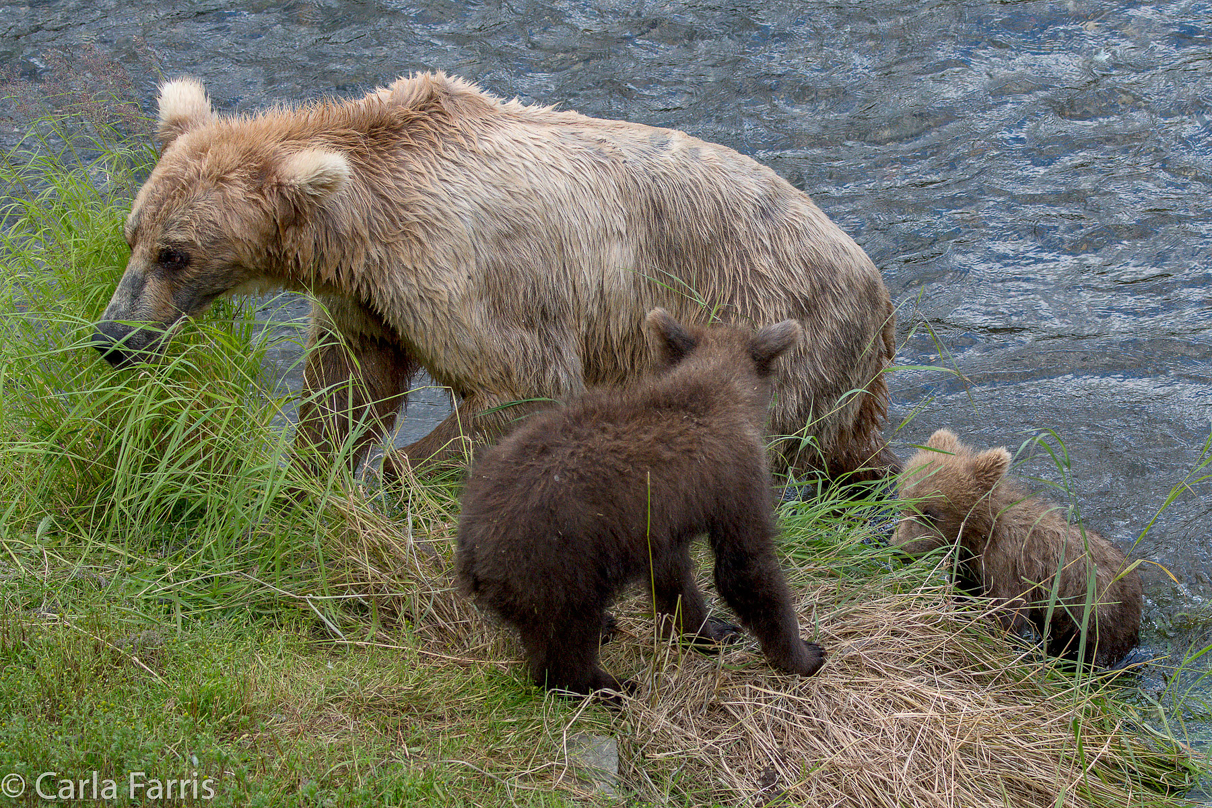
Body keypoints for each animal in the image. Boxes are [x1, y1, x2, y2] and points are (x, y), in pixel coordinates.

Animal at [96, 72, 901, 479]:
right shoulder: (369, 299)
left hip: (778, 328)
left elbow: (522, 385)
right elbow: (347, 388)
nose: (112, 337)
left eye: (175, 253)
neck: (358, 224)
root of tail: (881, 290)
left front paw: (401, 476)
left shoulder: (461, 273)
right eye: (132, 237)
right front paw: (303, 480)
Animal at [458, 310, 829, 702]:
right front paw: (805, 654)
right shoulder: (736, 481)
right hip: (555, 562)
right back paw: (609, 686)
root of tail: (471, 552)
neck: (719, 392)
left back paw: (606, 631)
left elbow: (673, 579)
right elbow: (746, 568)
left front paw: (711, 630)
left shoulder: (659, 520)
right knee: (567, 637)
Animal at [896, 428, 1139, 668]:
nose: (899, 548)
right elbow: (965, 595)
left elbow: (1006, 613)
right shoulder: (970, 569)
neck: (980, 533)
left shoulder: (1008, 565)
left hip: (1096, 614)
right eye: (904, 502)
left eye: (930, 513)